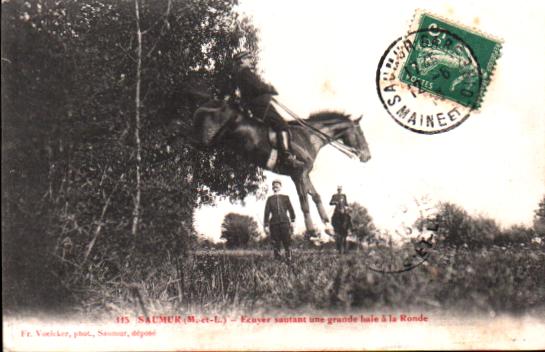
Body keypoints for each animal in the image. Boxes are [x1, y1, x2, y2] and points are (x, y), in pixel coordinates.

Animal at [190, 100, 370, 235]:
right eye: (361, 133)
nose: (367, 156)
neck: (308, 137)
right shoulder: (297, 174)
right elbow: (304, 202)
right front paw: (313, 233)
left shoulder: (304, 174)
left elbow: (316, 197)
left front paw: (327, 228)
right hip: (206, 140)